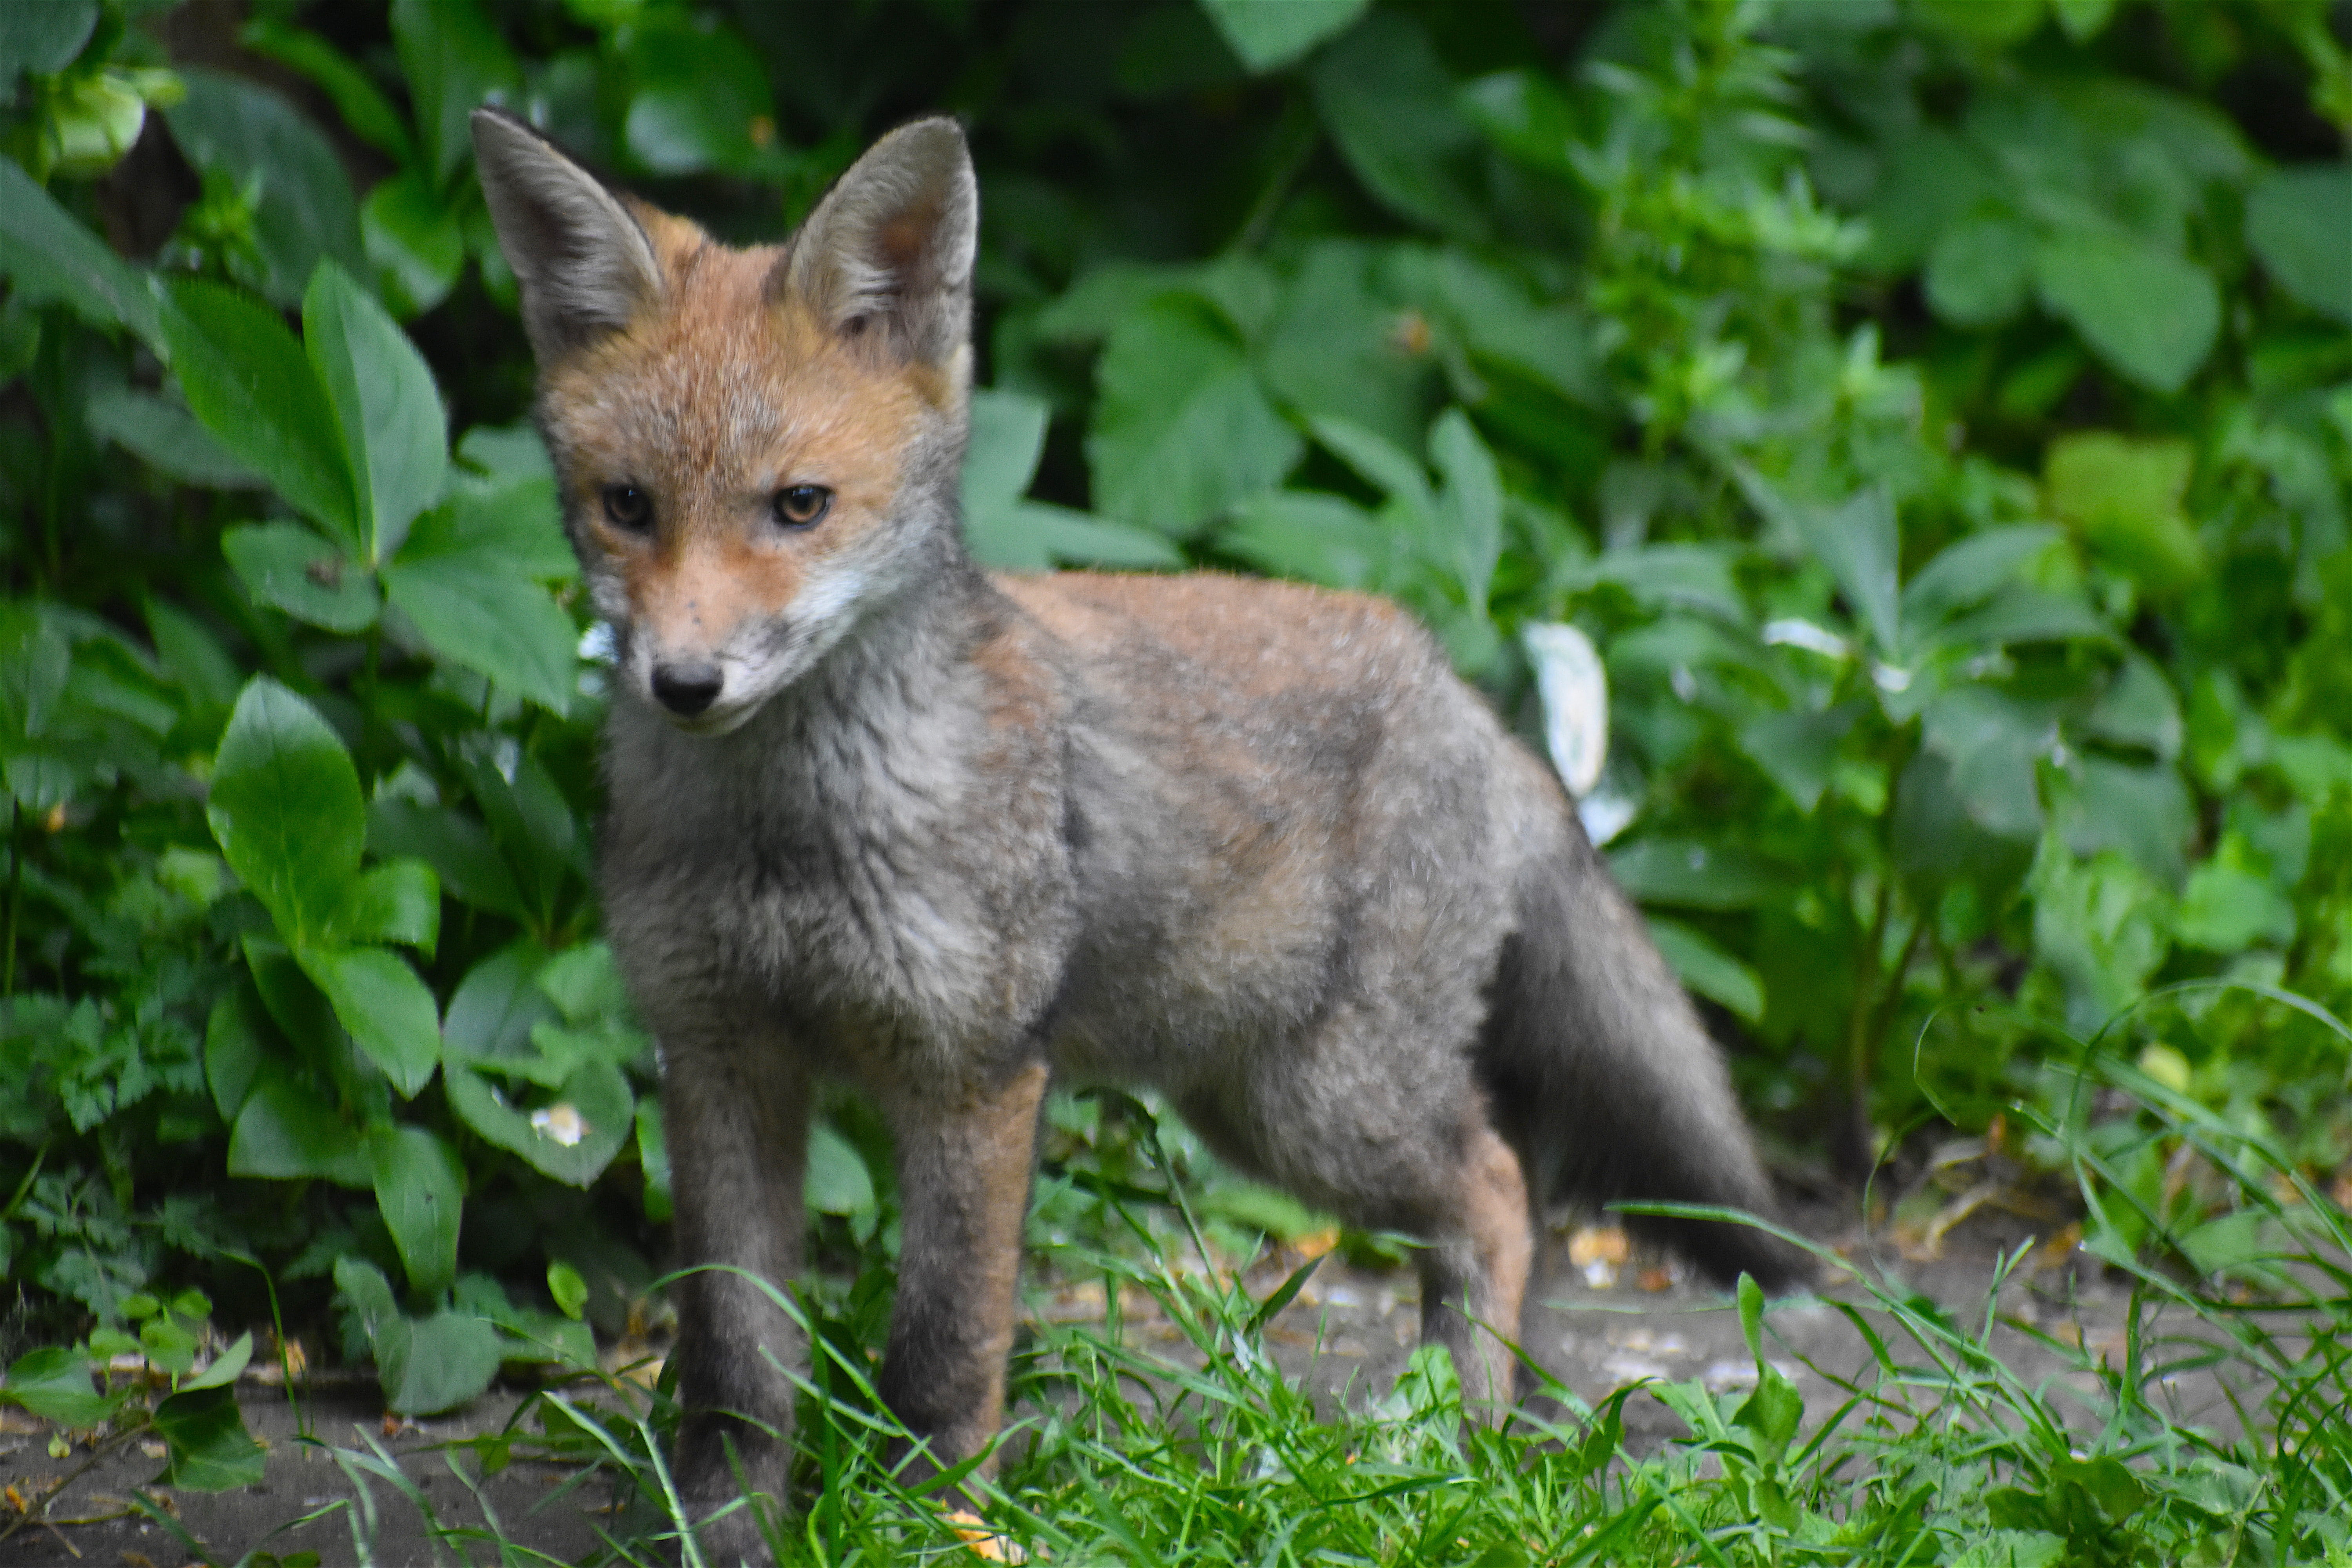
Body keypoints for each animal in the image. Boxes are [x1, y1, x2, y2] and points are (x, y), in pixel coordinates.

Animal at [470, 108, 1807, 1557]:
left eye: (800, 507)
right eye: (628, 507)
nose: (685, 683)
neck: (789, 840)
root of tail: (1463, 690)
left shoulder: (977, 1075)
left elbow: (943, 1348)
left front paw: (934, 1526)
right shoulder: (719, 1061)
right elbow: (733, 1368)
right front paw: (722, 1536)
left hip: (1324, 1107)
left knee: (1506, 1192)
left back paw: (1448, 1443)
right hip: (1247, 1100)